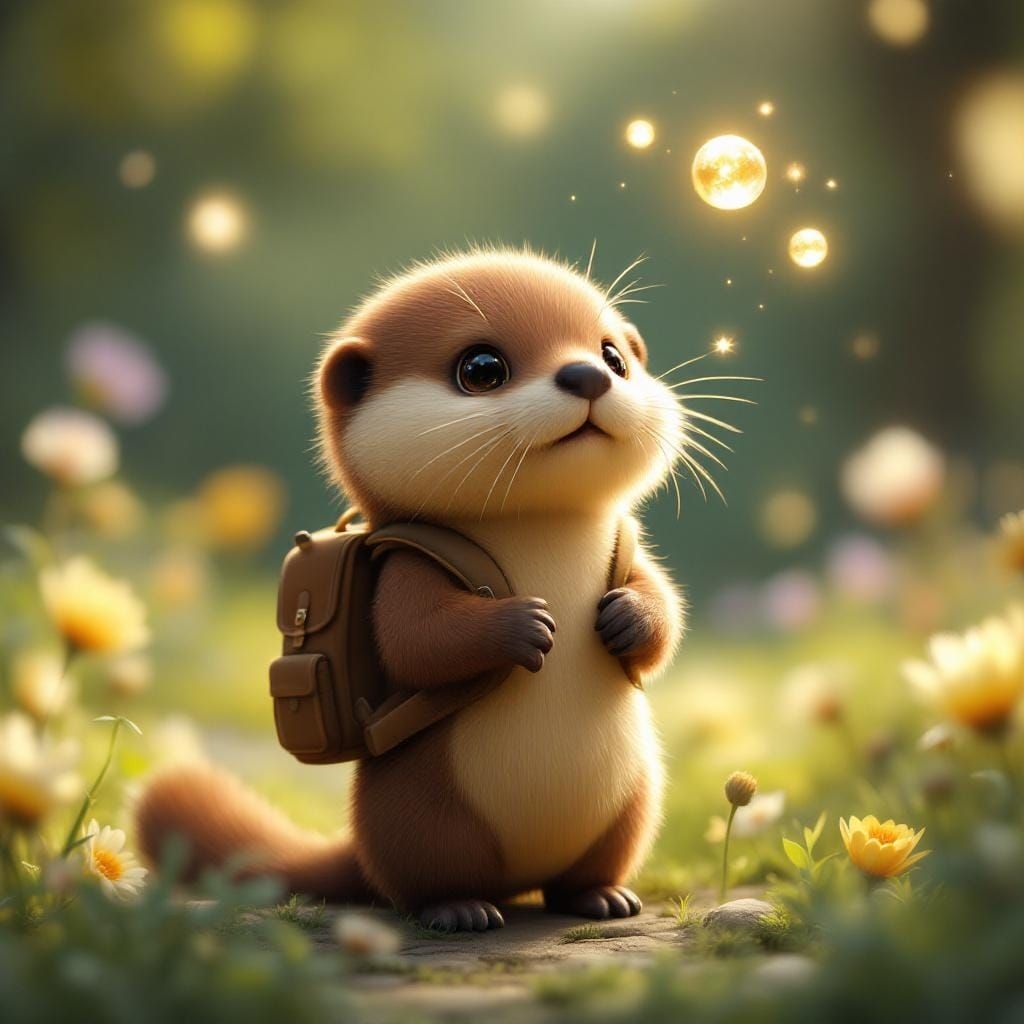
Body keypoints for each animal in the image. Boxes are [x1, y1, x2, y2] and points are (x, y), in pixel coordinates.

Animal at [137, 247, 690, 932]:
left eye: (614, 356)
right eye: (482, 368)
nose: (589, 374)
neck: (540, 530)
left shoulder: (627, 544)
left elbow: (663, 606)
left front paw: (628, 618)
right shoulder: (407, 565)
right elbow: (416, 641)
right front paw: (521, 625)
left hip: (632, 801)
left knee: (583, 872)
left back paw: (600, 896)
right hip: (423, 811)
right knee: (424, 880)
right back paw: (460, 908)